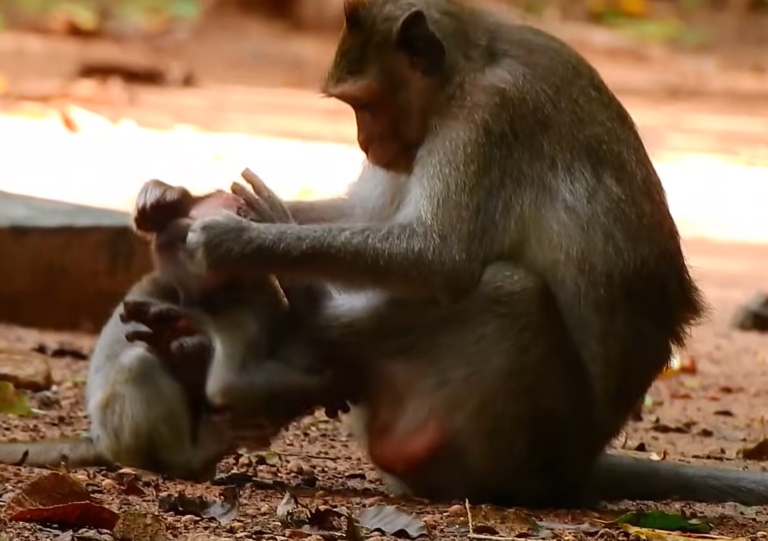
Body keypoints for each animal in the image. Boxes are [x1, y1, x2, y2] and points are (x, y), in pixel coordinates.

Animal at [0, 176, 338, 481]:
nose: (243, 215)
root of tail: (97, 440)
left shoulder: (252, 302)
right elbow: (231, 383)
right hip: (121, 438)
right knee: (139, 365)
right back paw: (190, 457)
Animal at [161, 0, 768, 506]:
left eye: (366, 104)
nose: (363, 141)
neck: (465, 72)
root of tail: (578, 468)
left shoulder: (485, 118)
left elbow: (437, 257)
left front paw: (241, 238)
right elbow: (367, 213)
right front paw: (176, 200)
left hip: (527, 445)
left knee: (510, 291)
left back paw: (301, 328)